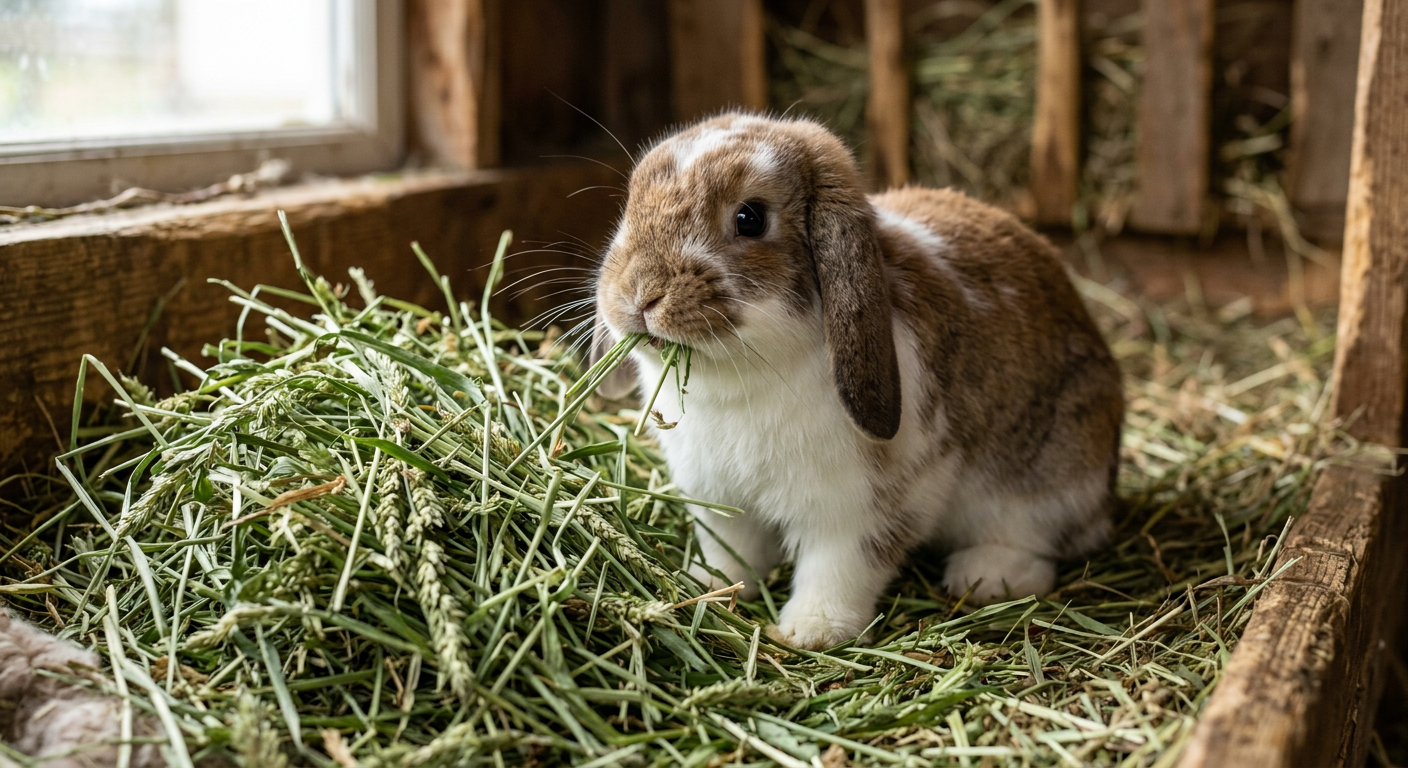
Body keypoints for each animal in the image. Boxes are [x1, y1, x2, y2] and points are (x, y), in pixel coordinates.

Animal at [589, 112, 1123, 651]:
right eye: (633, 202)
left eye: (750, 218)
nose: (641, 294)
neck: (741, 378)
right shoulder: (718, 499)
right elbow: (730, 554)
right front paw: (706, 589)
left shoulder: (858, 509)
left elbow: (840, 568)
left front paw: (811, 631)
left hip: (1049, 477)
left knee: (1037, 546)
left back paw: (985, 576)